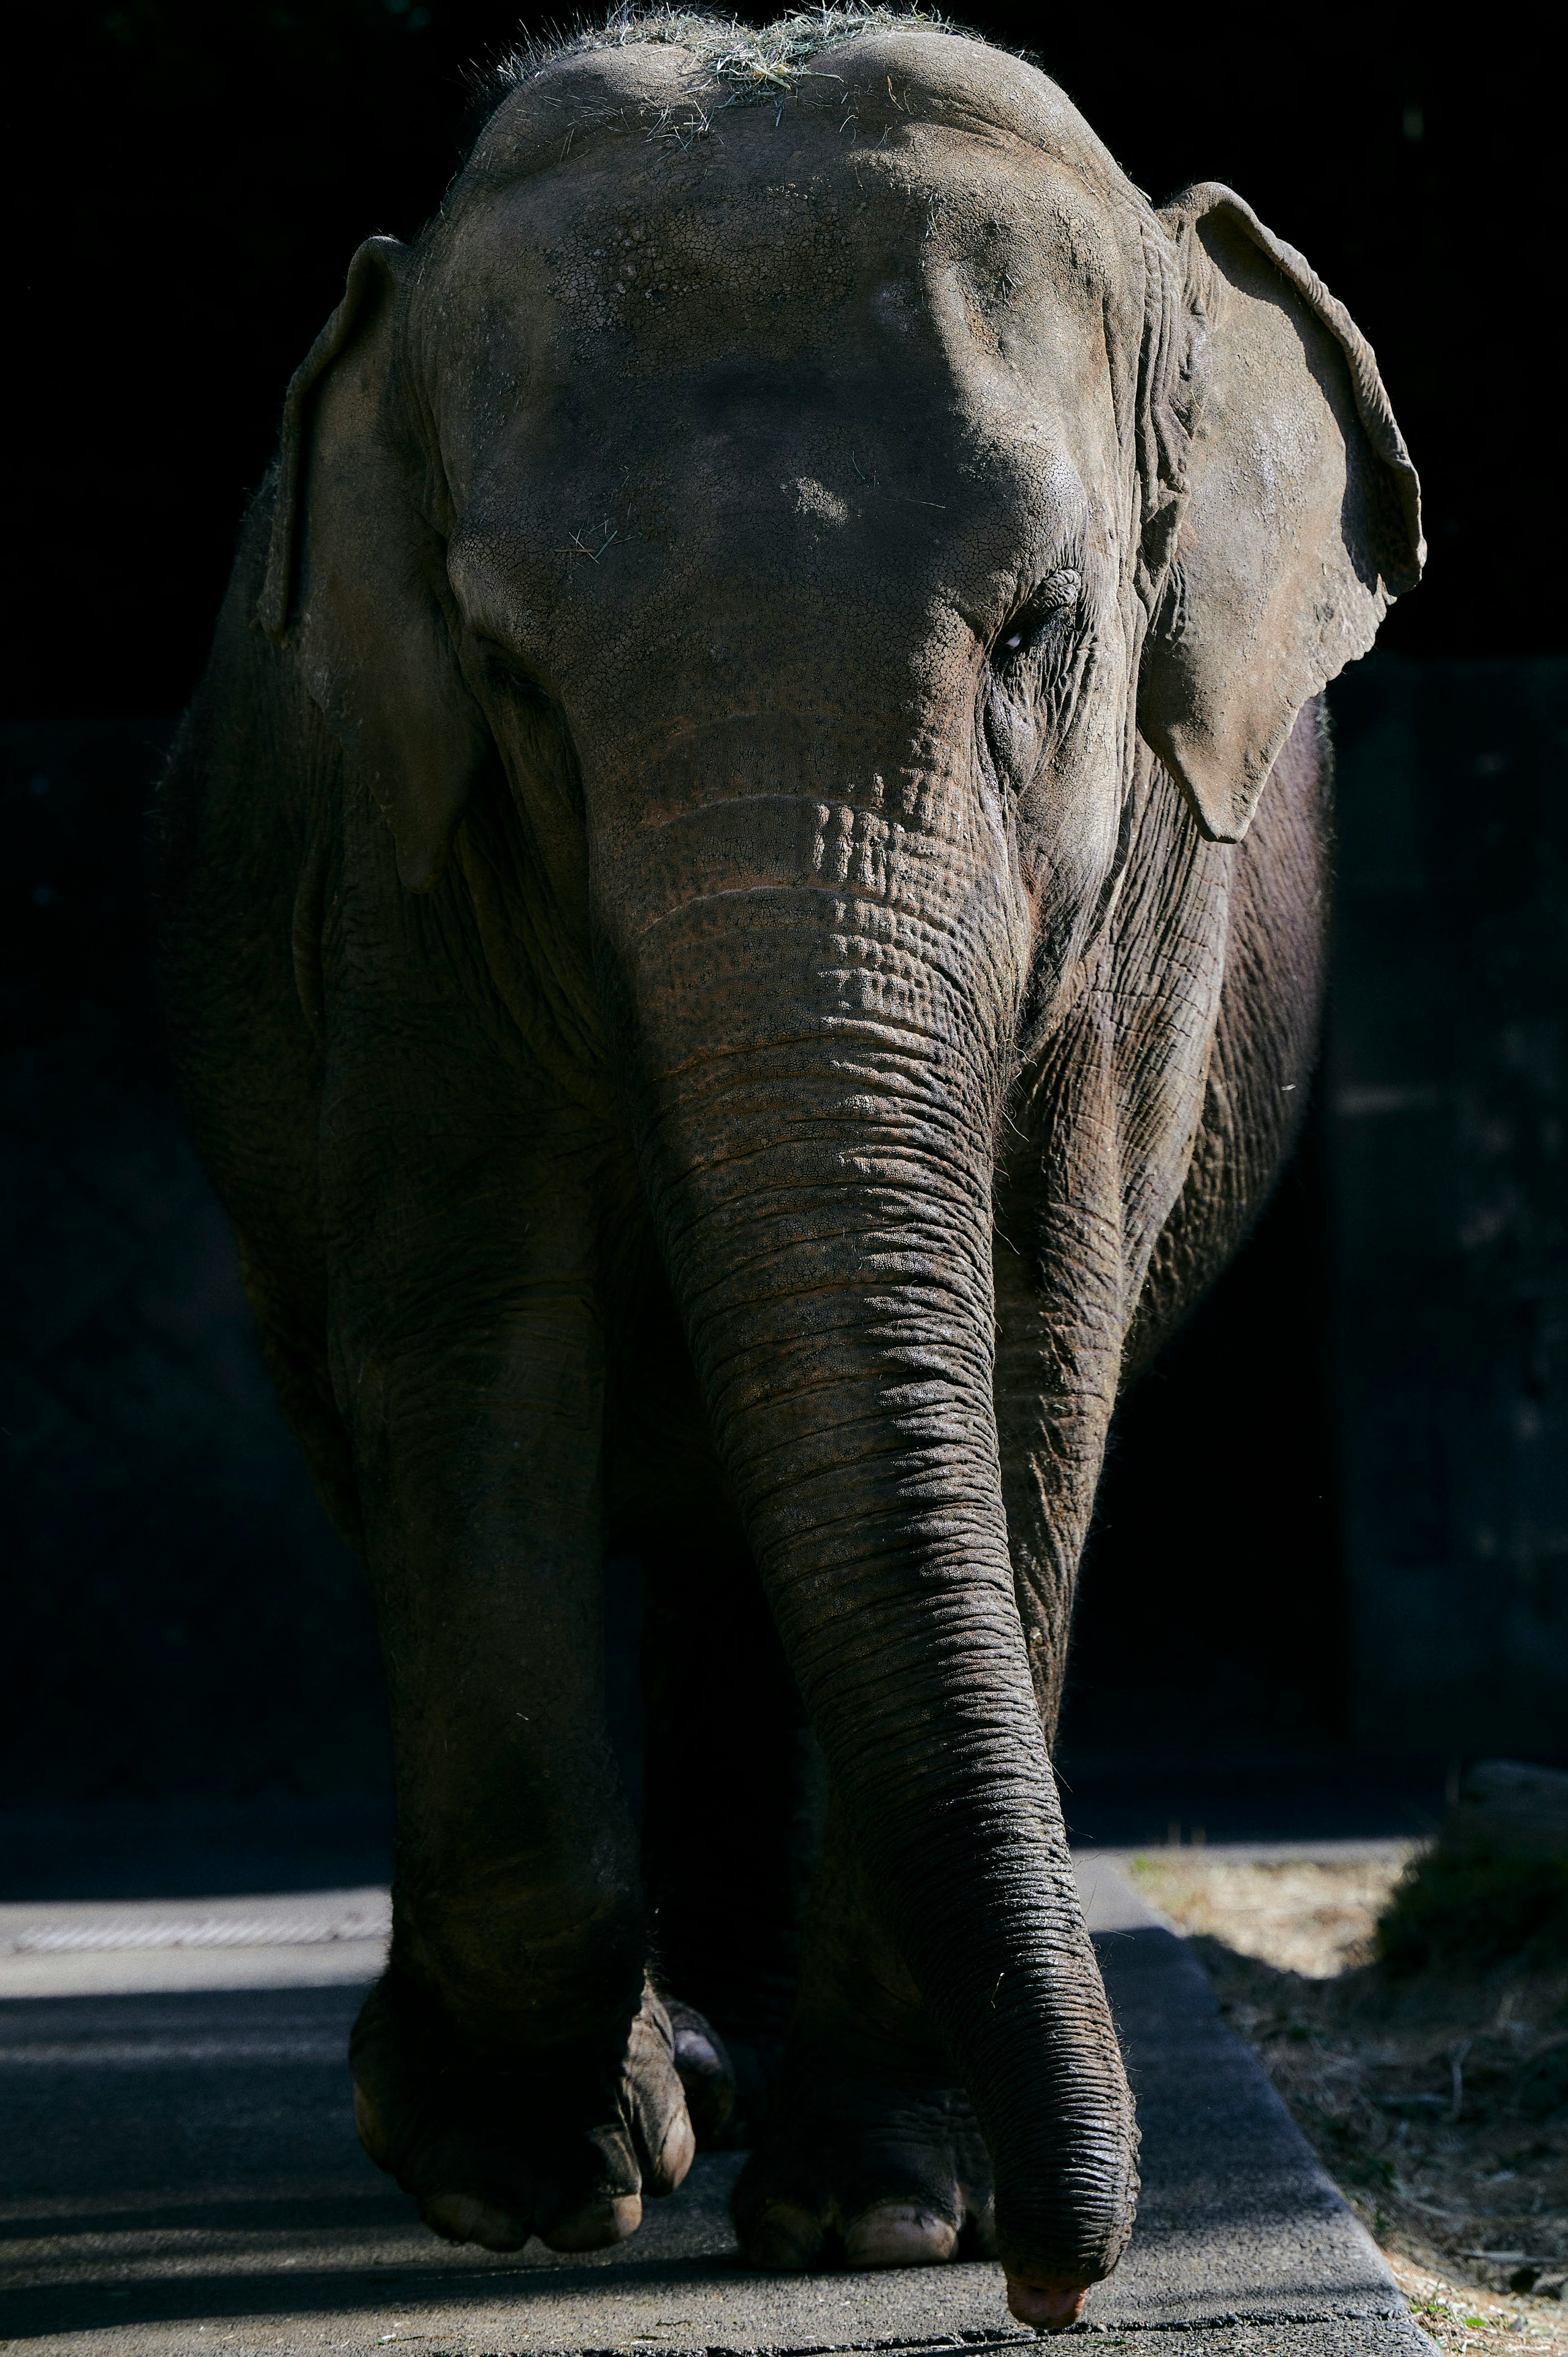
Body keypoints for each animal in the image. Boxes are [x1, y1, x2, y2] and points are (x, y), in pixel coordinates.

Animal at [156, 13, 1414, 2338]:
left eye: (1041, 629)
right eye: (507, 669)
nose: (1060, 2289)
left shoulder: (1138, 934)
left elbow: (1023, 1361)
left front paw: (882, 2215)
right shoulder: (404, 871)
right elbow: (477, 1350)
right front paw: (523, 2190)